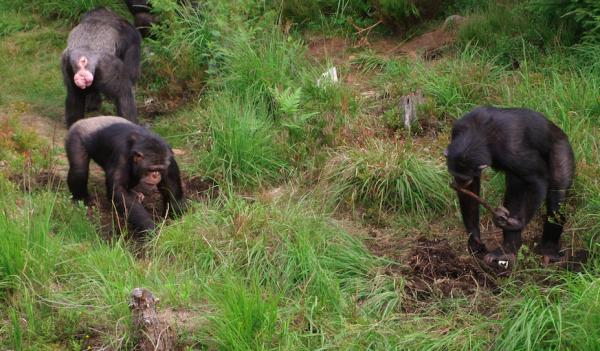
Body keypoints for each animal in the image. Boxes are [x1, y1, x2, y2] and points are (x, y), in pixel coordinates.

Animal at [446, 107, 576, 270]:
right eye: (454, 174)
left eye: (462, 178)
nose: (458, 182)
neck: (479, 132)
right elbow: (471, 190)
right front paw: (474, 239)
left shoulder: (513, 150)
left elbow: (537, 178)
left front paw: (518, 223)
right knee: (515, 188)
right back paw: (507, 251)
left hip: (561, 149)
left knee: (556, 194)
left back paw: (549, 250)